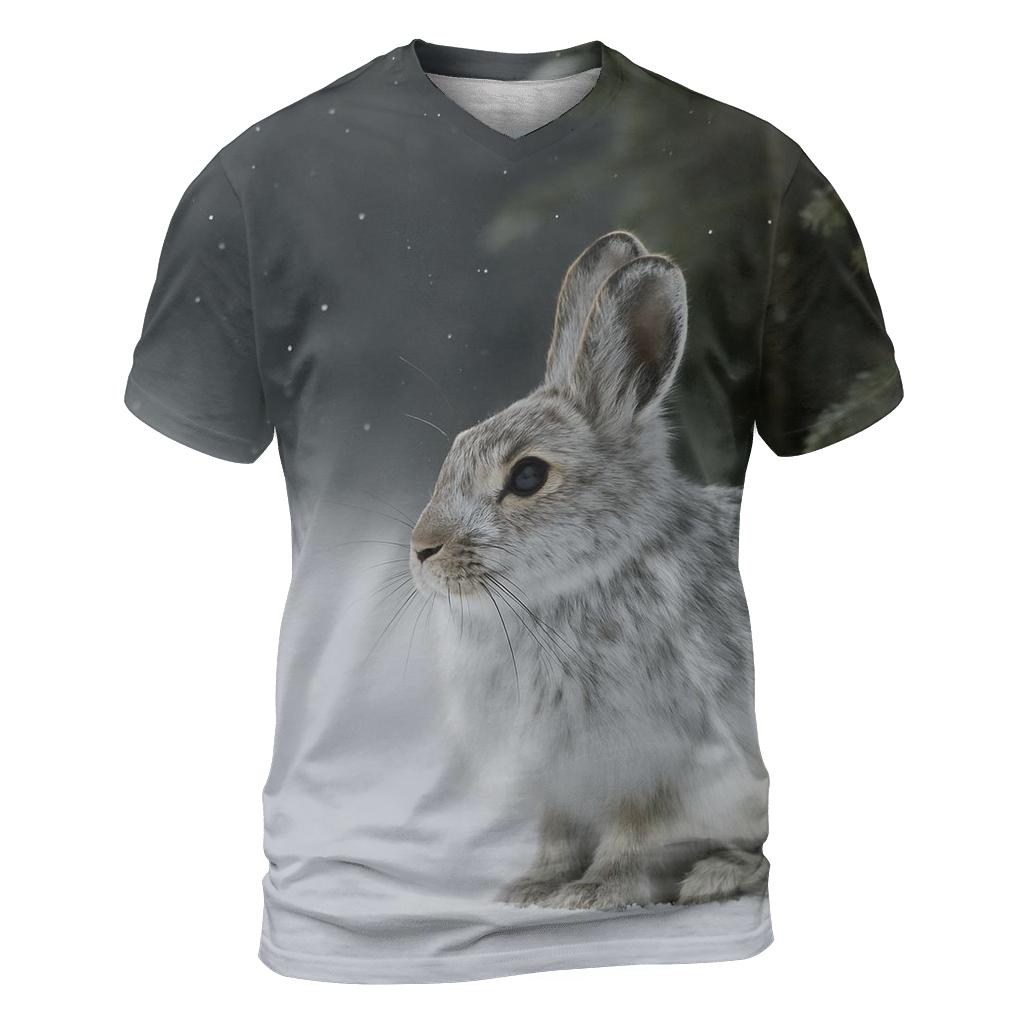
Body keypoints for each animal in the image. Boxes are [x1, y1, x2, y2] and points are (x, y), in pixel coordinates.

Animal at [409, 231, 769, 911]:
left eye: (528, 476)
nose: (422, 550)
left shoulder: (655, 756)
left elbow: (636, 828)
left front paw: (596, 893)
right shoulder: (558, 773)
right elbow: (558, 831)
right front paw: (530, 889)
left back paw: (716, 876)